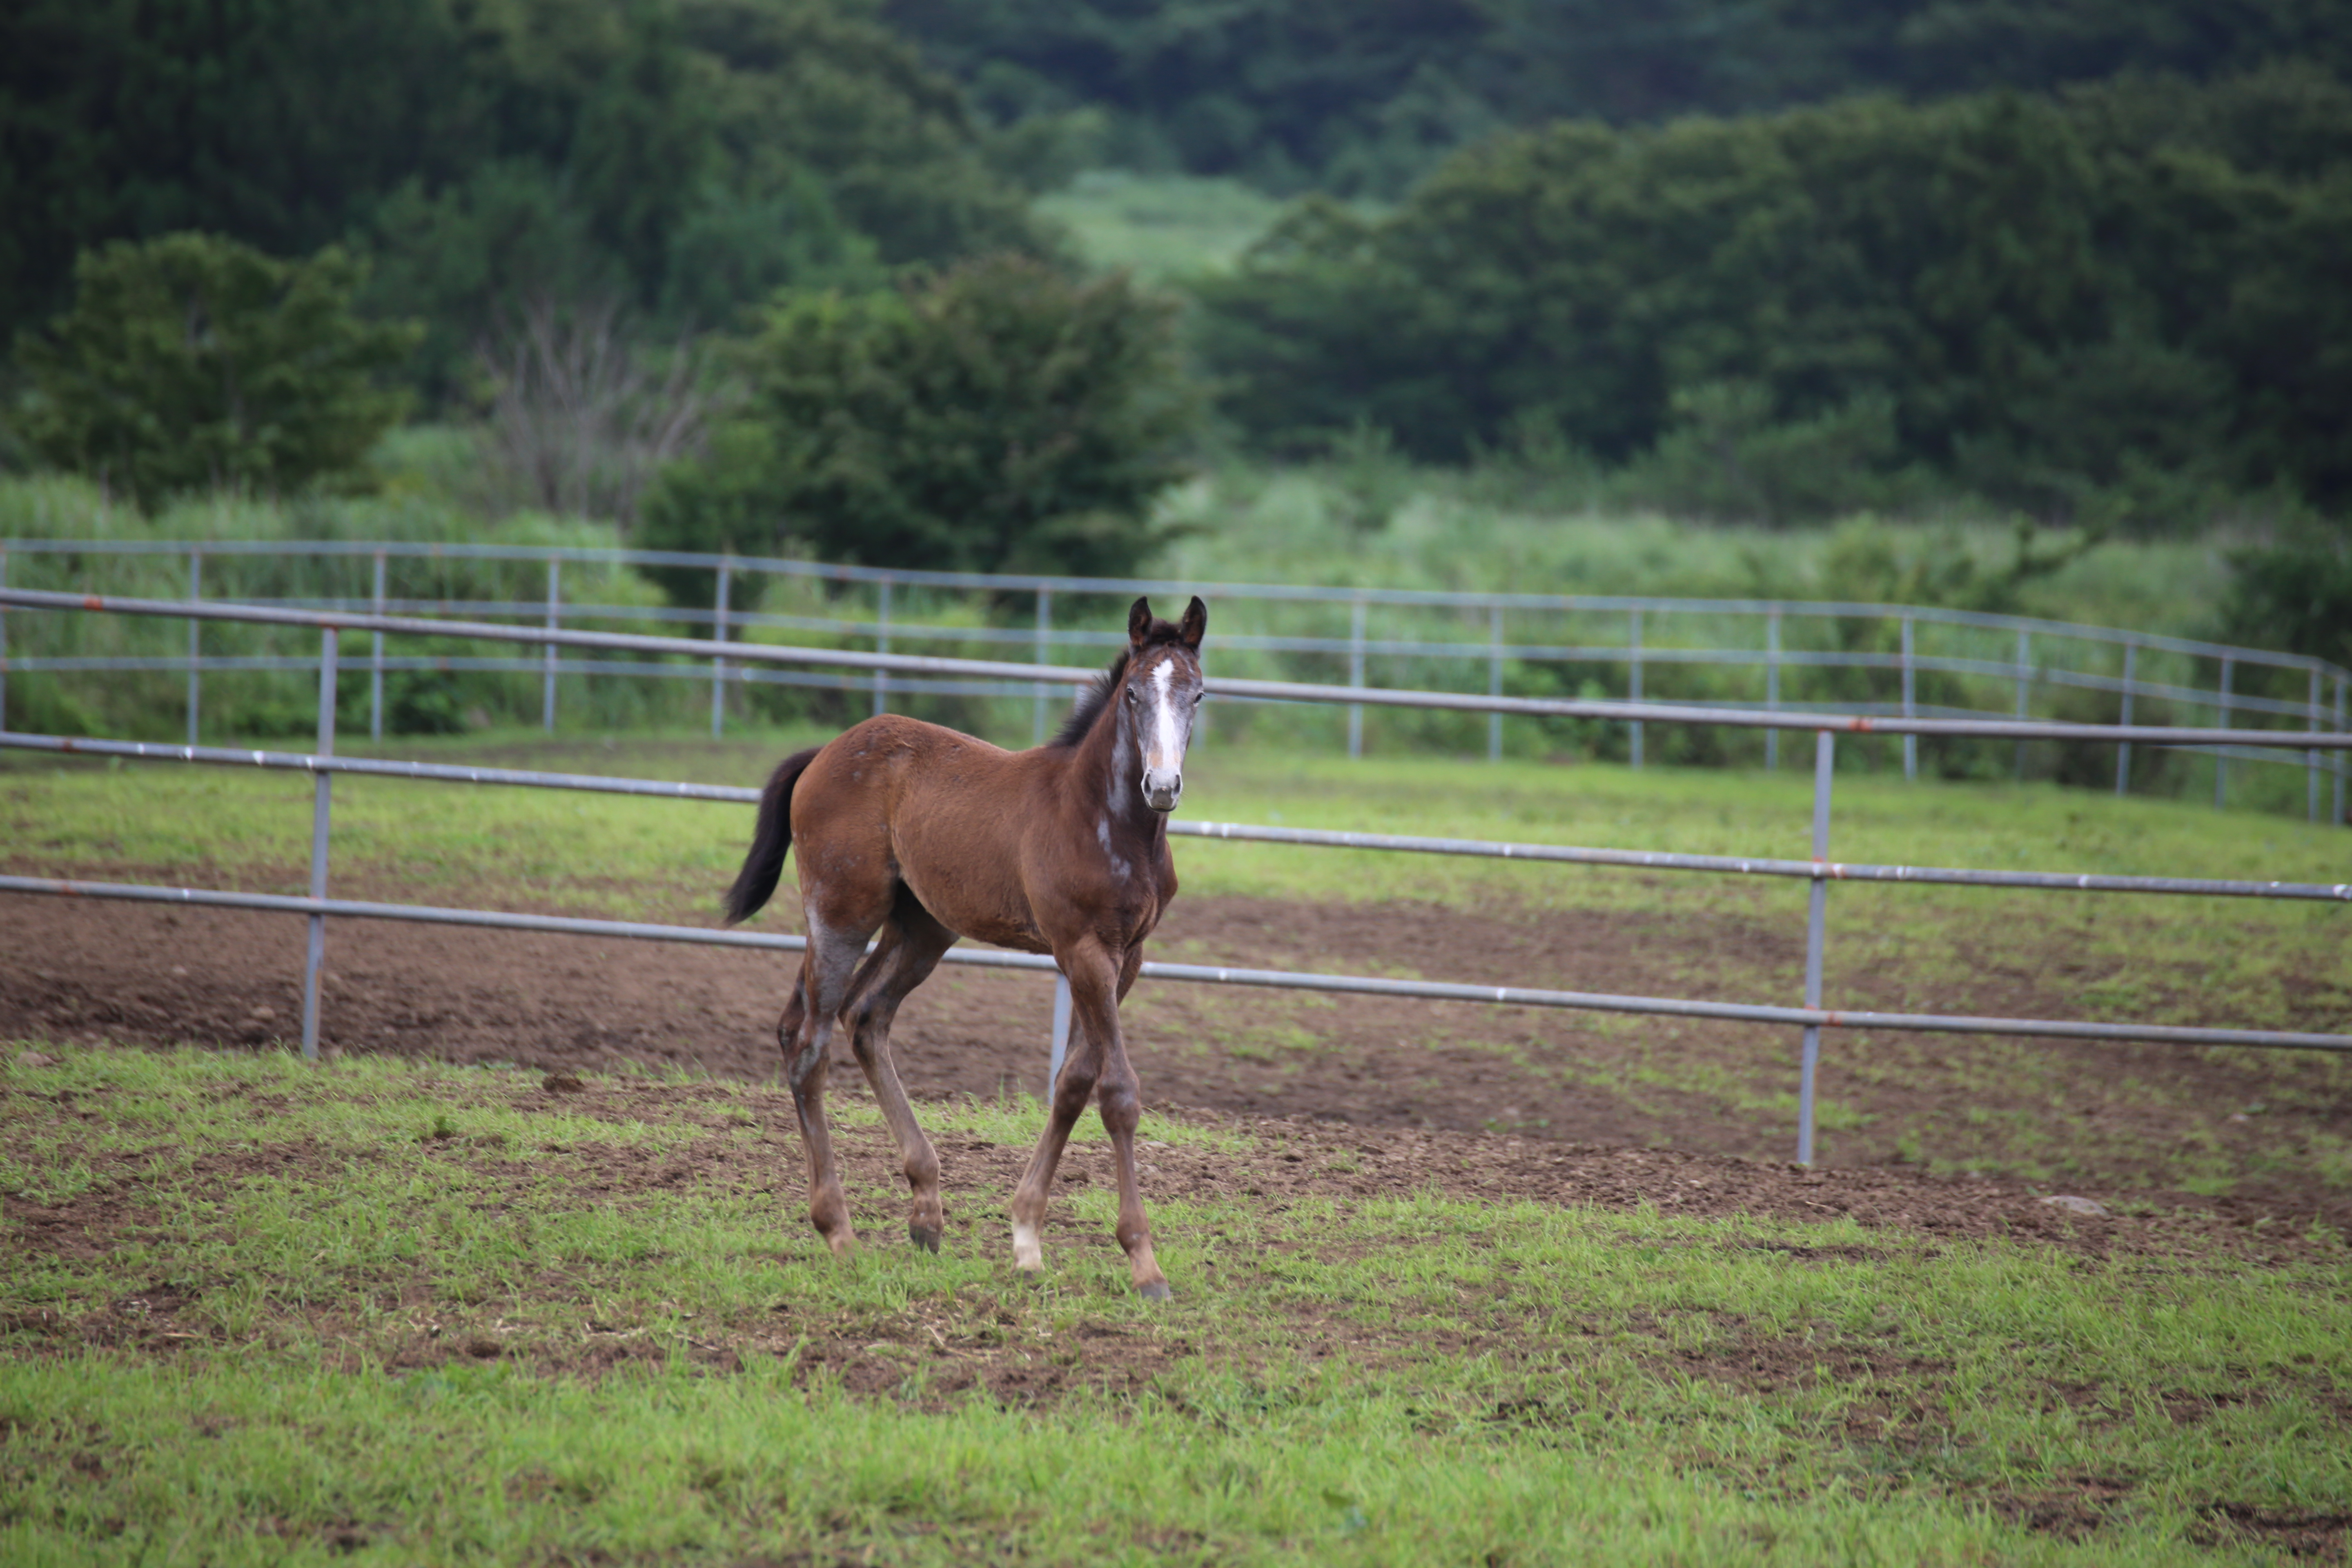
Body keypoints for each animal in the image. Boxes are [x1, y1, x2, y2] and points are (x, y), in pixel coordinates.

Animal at [719, 595, 1204, 1297]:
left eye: (1197, 694)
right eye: (1136, 694)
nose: (1162, 786)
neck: (1105, 820)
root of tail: (823, 754)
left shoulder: (1127, 957)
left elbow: (1073, 1082)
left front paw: (1026, 1237)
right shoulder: (1082, 950)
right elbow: (1117, 1092)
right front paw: (1144, 1262)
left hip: (921, 928)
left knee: (861, 1018)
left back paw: (926, 1213)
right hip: (842, 914)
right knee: (808, 1041)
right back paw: (840, 1232)